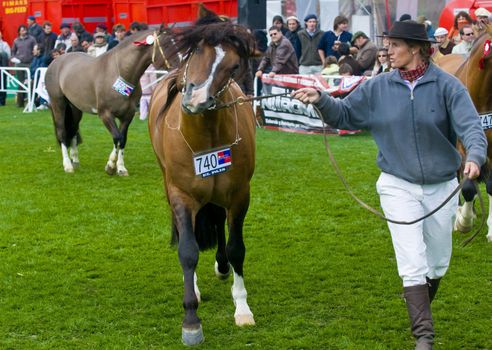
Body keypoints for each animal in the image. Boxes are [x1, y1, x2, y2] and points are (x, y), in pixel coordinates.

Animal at [45, 28, 178, 175]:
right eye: (166, 44)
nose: (179, 64)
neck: (120, 73)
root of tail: (56, 61)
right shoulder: (105, 114)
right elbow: (117, 137)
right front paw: (110, 166)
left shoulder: (128, 115)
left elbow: (123, 139)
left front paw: (121, 168)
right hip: (58, 104)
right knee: (62, 132)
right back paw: (68, 165)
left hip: (75, 108)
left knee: (73, 130)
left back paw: (75, 160)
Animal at [148, 9, 258, 346]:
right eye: (196, 50)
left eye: (233, 65)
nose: (196, 98)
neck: (205, 137)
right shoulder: (181, 196)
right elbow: (188, 251)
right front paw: (191, 321)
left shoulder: (239, 195)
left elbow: (236, 248)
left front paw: (242, 308)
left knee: (219, 221)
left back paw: (222, 267)